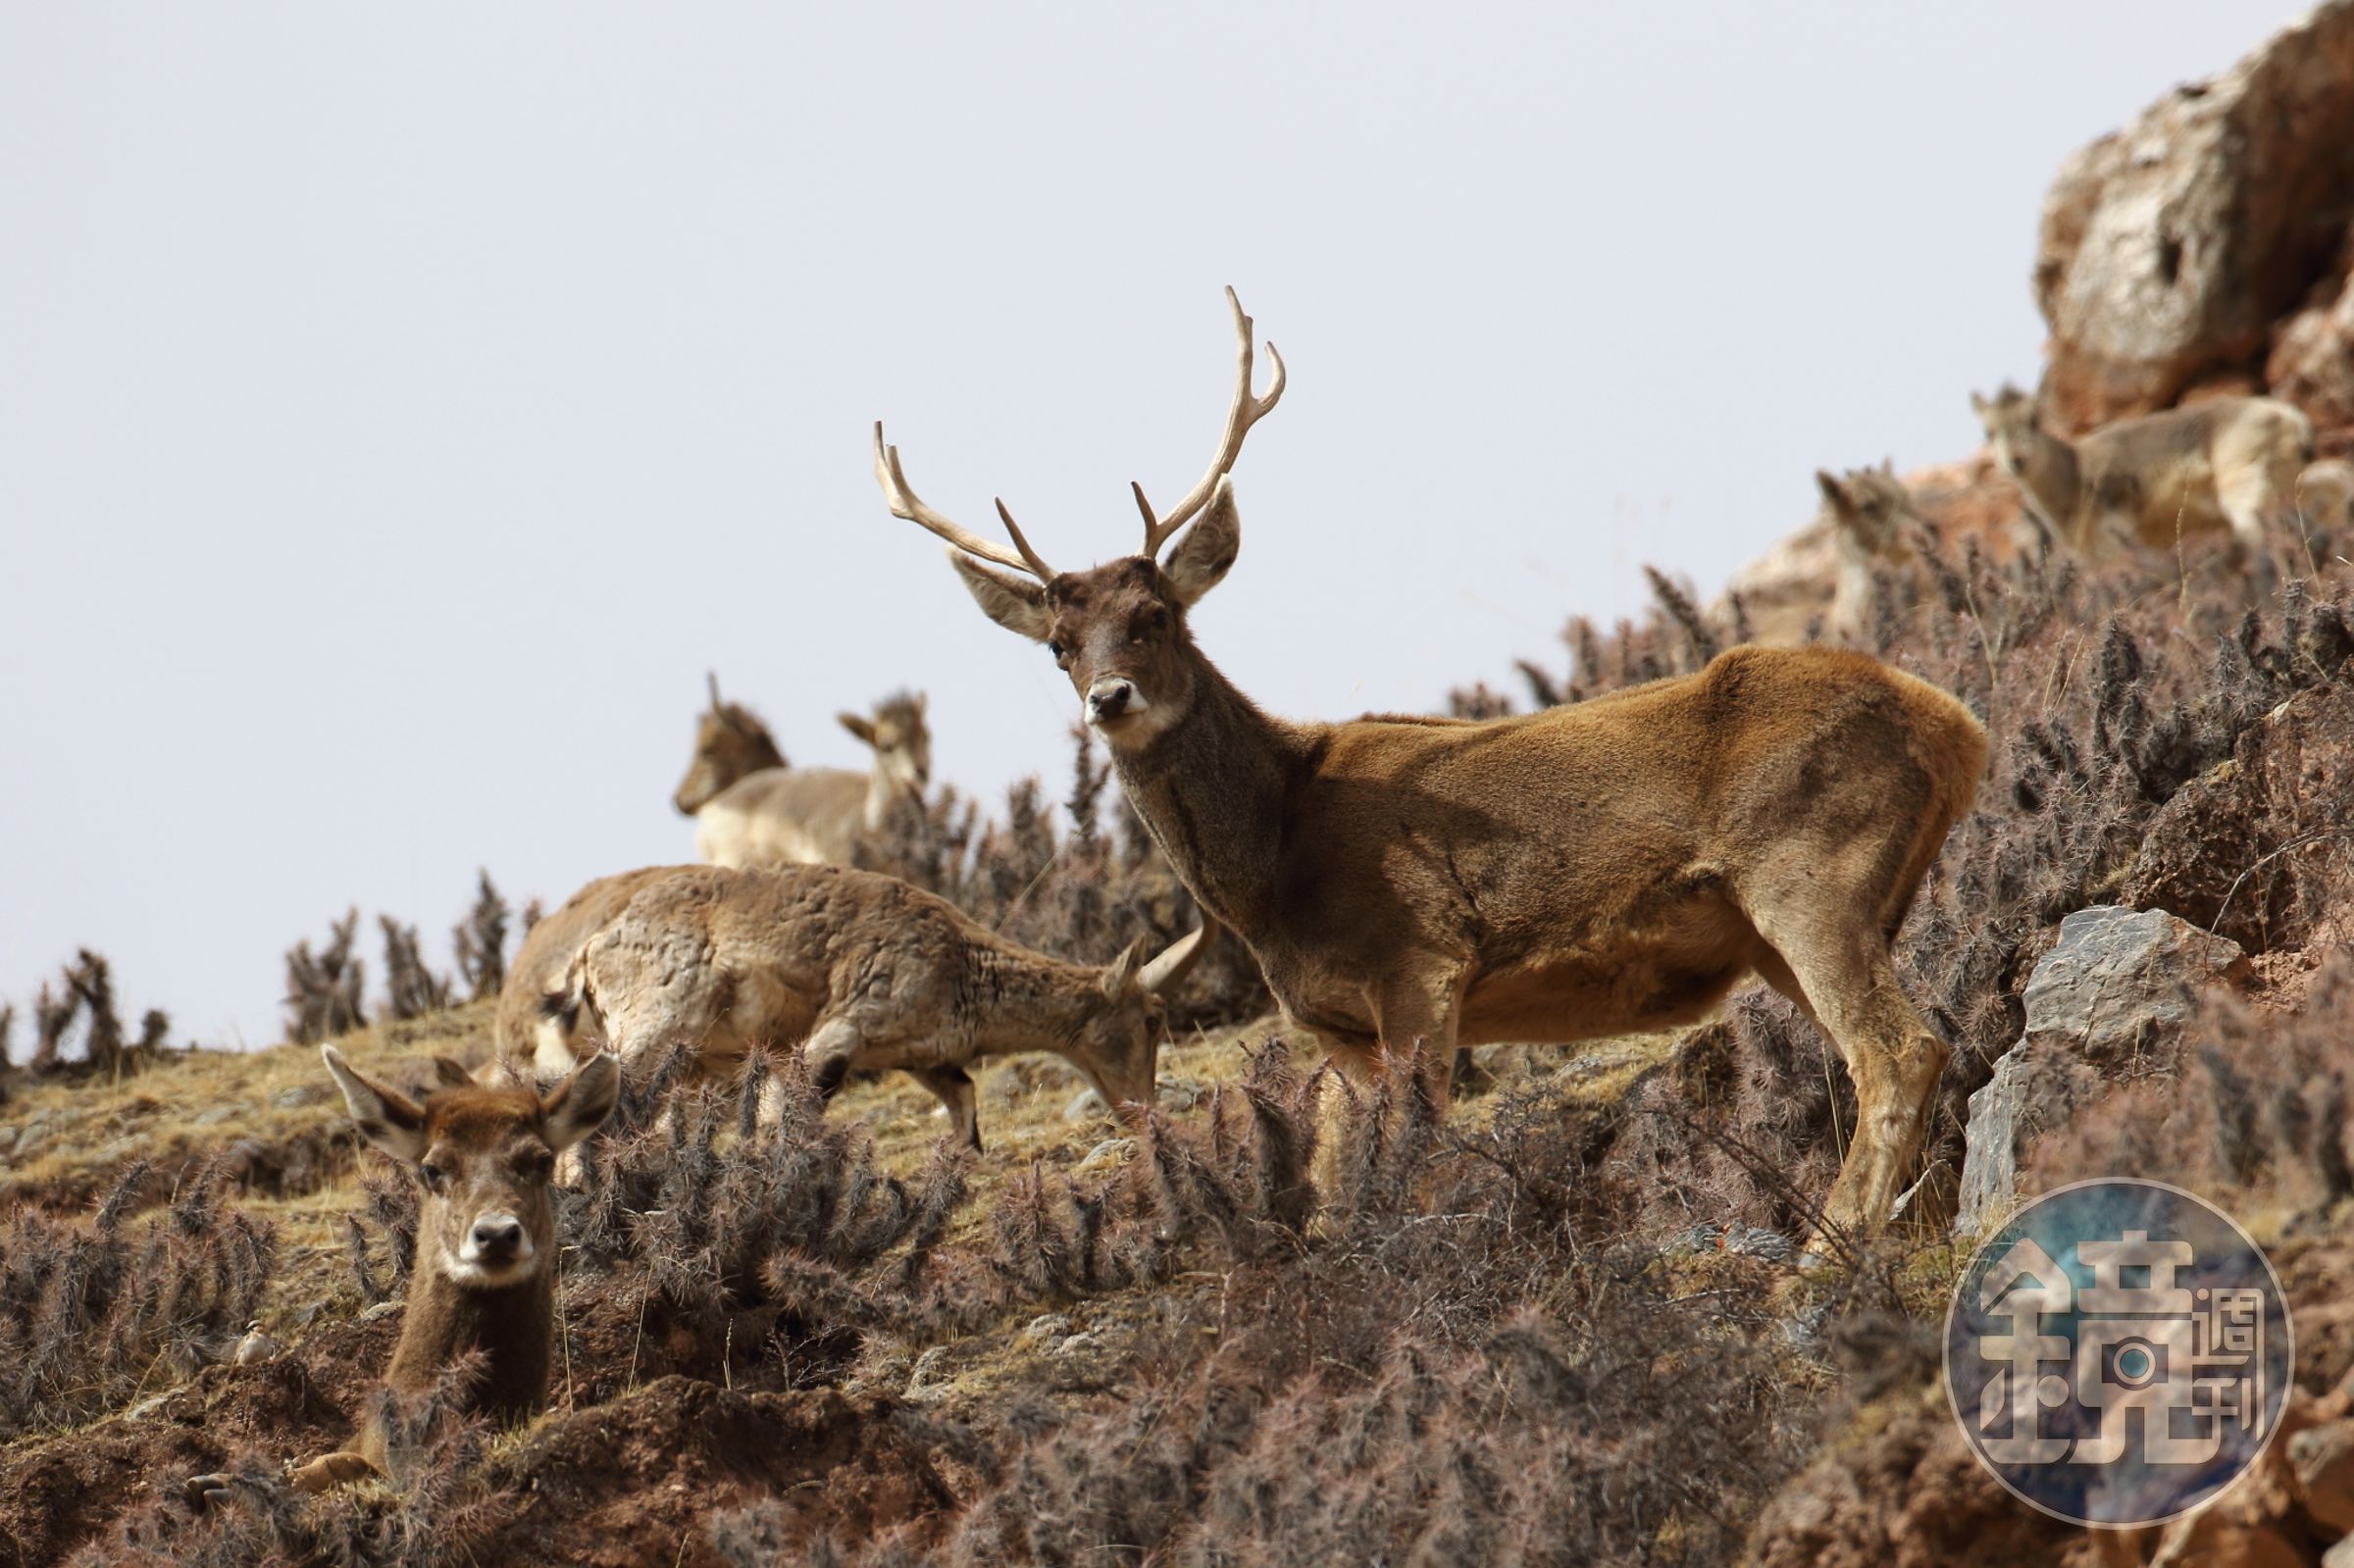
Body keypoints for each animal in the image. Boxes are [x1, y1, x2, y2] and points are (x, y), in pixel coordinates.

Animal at [512, 862, 1211, 1151]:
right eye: (1152, 1019)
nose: (1142, 1111)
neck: (962, 966)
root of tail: (591, 953)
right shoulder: (841, 1031)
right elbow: (794, 1113)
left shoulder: (924, 1058)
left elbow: (965, 1110)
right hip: (656, 1027)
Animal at [867, 288, 1989, 1239]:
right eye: (1060, 644)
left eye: (1154, 616)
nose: (1109, 699)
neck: (1273, 869)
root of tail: (1960, 726)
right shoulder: (1332, 1022)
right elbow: (1338, 1179)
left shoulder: (1421, 957)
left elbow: (1415, 1156)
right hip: (1790, 923)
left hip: (1810, 870)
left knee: (1900, 1050)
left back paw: (1829, 1247)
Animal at [1969, 384, 2318, 565]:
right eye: (1989, 432)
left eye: (2033, 420)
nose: (2016, 459)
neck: (2073, 474)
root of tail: (2289, 415)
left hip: (2243, 494)